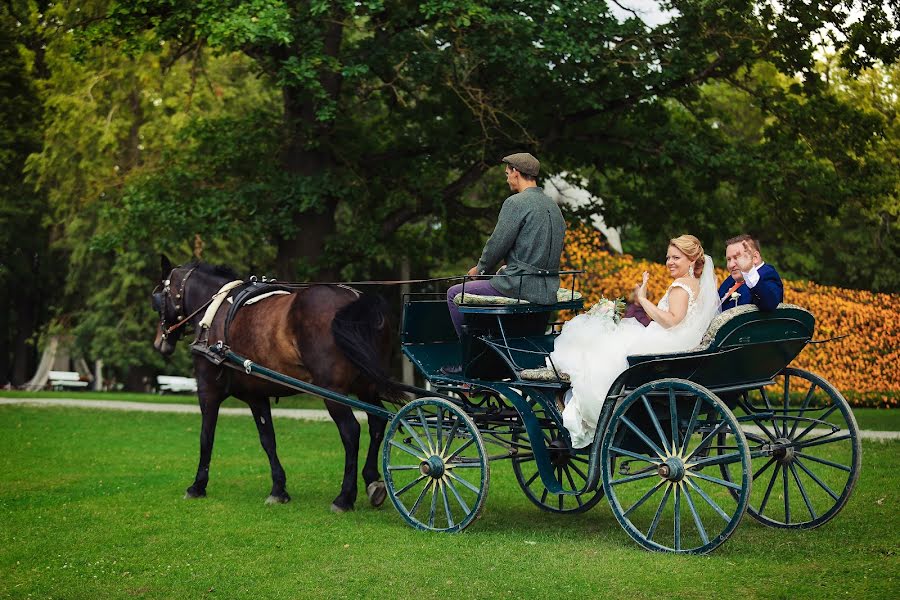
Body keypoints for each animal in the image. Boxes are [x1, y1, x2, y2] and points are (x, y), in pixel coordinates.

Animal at [151, 253, 398, 510]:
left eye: (158, 298)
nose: (160, 342)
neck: (215, 313)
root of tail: (355, 300)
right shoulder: (256, 396)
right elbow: (268, 439)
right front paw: (279, 489)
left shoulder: (208, 391)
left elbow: (206, 438)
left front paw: (197, 486)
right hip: (366, 387)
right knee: (378, 422)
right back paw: (373, 480)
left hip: (332, 391)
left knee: (350, 431)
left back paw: (345, 497)